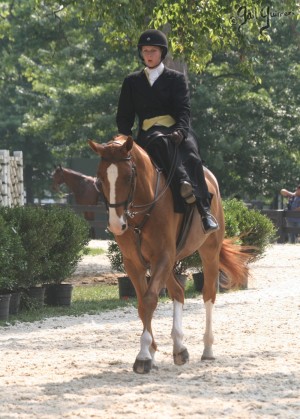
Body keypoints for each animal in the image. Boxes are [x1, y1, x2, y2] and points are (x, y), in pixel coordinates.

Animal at [90, 137, 250, 374]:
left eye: (128, 177)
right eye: (100, 180)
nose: (116, 225)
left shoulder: (163, 256)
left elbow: (149, 300)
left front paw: (144, 355)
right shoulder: (134, 263)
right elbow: (142, 304)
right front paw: (152, 352)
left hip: (208, 252)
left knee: (208, 294)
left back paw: (207, 349)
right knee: (178, 292)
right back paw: (179, 347)